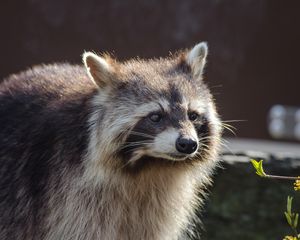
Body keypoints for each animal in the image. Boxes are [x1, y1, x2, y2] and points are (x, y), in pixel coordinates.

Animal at [0, 42, 223, 239]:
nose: (187, 144)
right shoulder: (69, 196)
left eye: (192, 115)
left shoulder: (156, 207)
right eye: (155, 116)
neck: (149, 165)